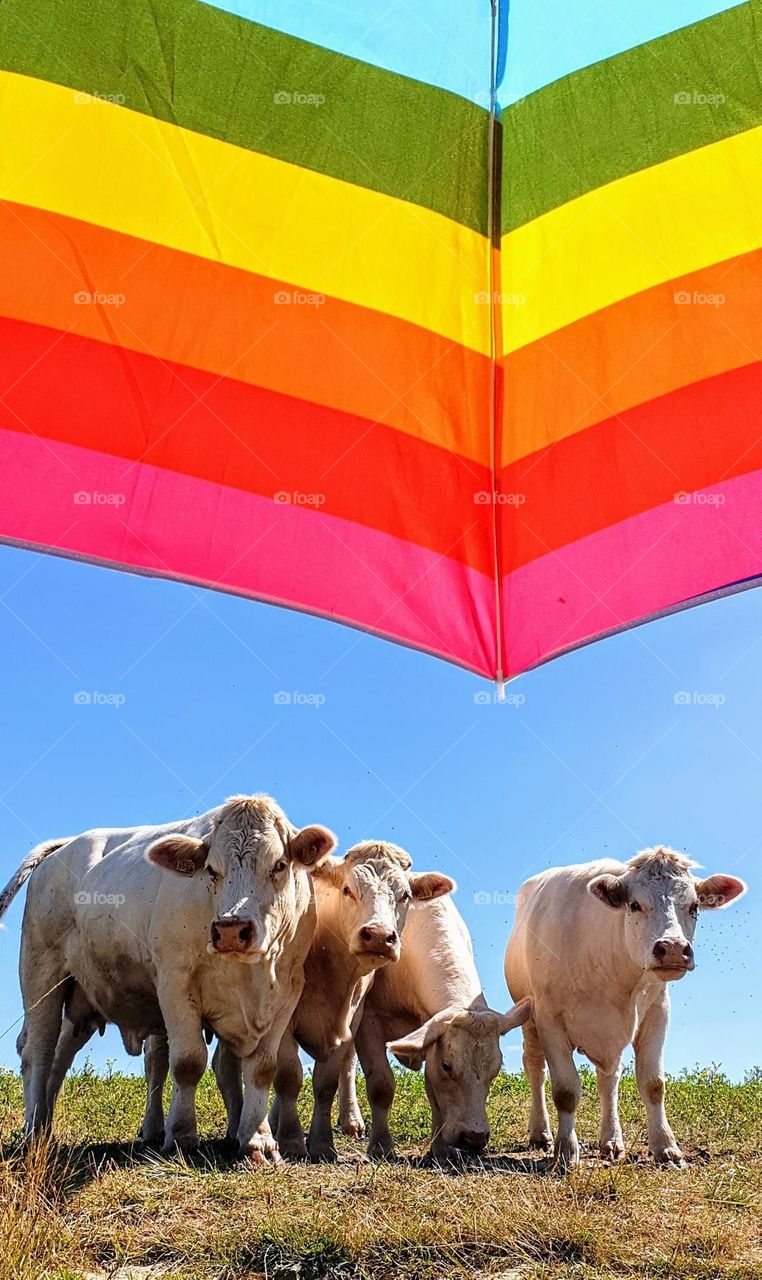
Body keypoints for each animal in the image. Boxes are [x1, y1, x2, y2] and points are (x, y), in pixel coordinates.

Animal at [0, 788, 332, 1162]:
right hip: (41, 975)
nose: (231, 930)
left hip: (79, 998)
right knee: (37, 1051)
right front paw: (182, 1135)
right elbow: (188, 1062)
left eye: (278, 865)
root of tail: (65, 846)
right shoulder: (175, 983)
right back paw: (32, 1131)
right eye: (211, 870)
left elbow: (262, 1068)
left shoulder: (286, 994)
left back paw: (44, 1128)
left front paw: (257, 1140)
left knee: (59, 1055)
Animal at [207, 839, 458, 1162]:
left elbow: (326, 1082)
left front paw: (322, 1143)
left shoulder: (348, 1021)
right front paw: (291, 1140)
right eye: (348, 890)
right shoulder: (284, 1018)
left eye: (405, 895)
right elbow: (288, 1077)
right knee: (225, 1066)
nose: (379, 936)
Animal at [338, 896, 532, 1167]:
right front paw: (381, 1147)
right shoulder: (368, 1021)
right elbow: (381, 1084)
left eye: (495, 1070)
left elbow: (432, 1089)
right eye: (447, 1066)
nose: (474, 1137)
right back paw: (351, 1121)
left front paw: (440, 1148)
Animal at [504, 849, 747, 1172]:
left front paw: (666, 1147)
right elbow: (565, 1091)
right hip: (528, 1021)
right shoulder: (549, 1018)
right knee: (535, 1069)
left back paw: (611, 1141)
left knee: (609, 1079)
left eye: (694, 906)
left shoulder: (657, 1012)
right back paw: (541, 1133)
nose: (672, 948)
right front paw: (566, 1151)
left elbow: (653, 1084)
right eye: (634, 904)